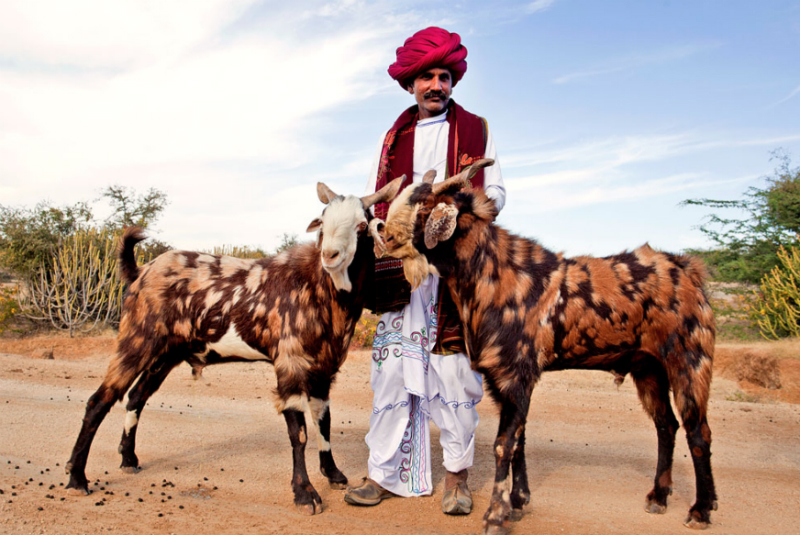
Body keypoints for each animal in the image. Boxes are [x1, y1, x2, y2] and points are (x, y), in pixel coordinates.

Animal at [66, 177, 406, 516]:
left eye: (362, 225)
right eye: (322, 221)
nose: (331, 255)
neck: (318, 286)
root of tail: (140, 273)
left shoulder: (324, 367)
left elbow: (324, 421)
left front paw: (333, 474)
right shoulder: (290, 363)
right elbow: (299, 433)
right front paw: (304, 493)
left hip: (165, 354)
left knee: (136, 397)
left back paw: (128, 459)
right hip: (137, 340)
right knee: (99, 401)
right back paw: (77, 478)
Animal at [378, 161, 720, 532]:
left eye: (425, 208)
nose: (386, 237)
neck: (497, 275)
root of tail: (689, 271)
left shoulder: (517, 371)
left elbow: (504, 444)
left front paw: (495, 516)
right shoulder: (502, 380)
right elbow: (519, 441)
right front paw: (517, 502)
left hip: (690, 359)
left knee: (698, 431)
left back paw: (701, 509)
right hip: (648, 367)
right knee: (666, 426)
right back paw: (659, 496)